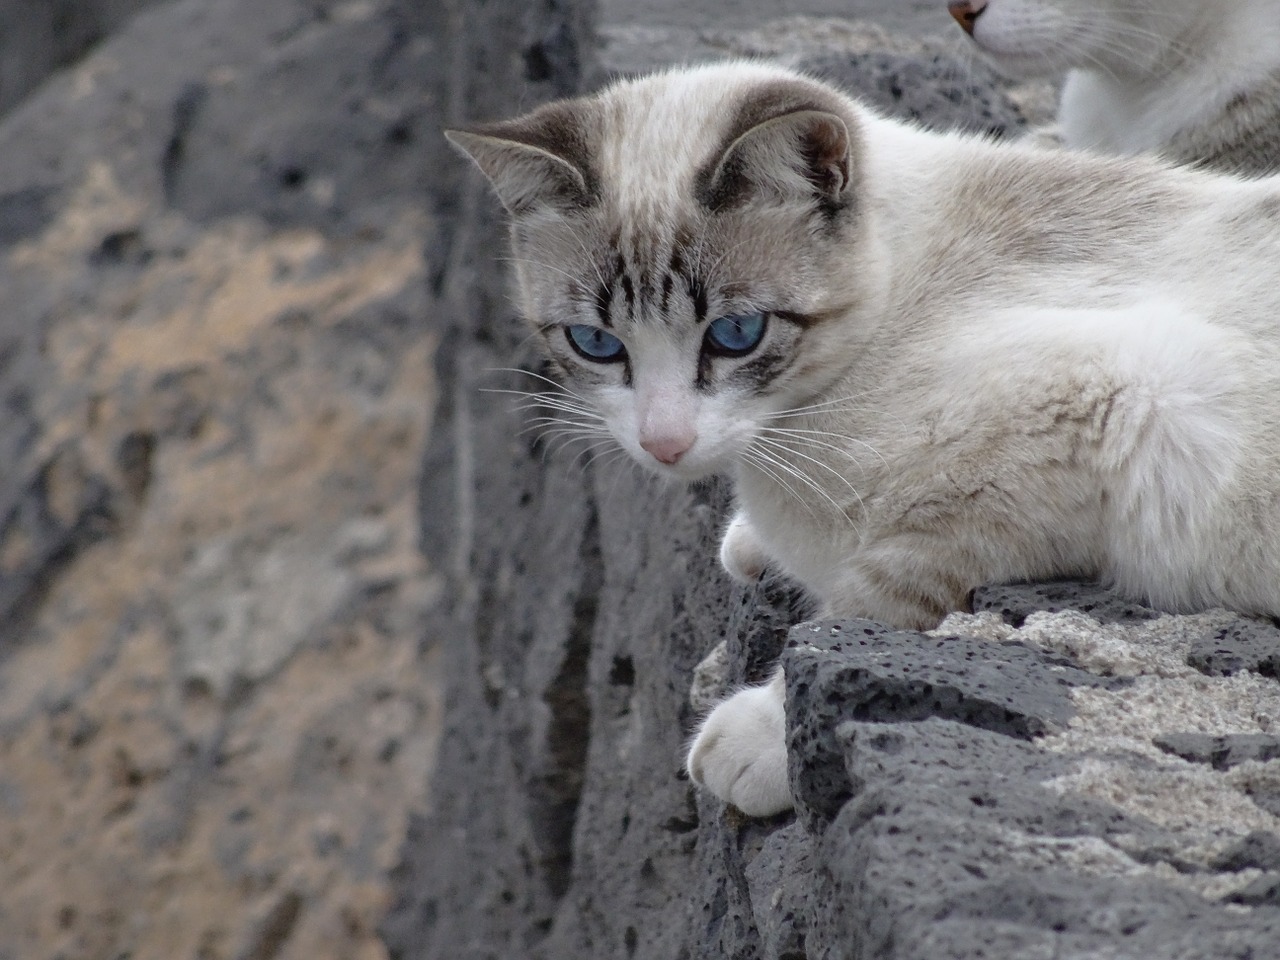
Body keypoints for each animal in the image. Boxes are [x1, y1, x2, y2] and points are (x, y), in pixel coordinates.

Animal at [445, 60, 1280, 814]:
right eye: (594, 343)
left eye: (736, 334)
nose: (664, 443)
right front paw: (752, 542)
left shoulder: (1118, 402)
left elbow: (869, 601)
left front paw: (756, 740)